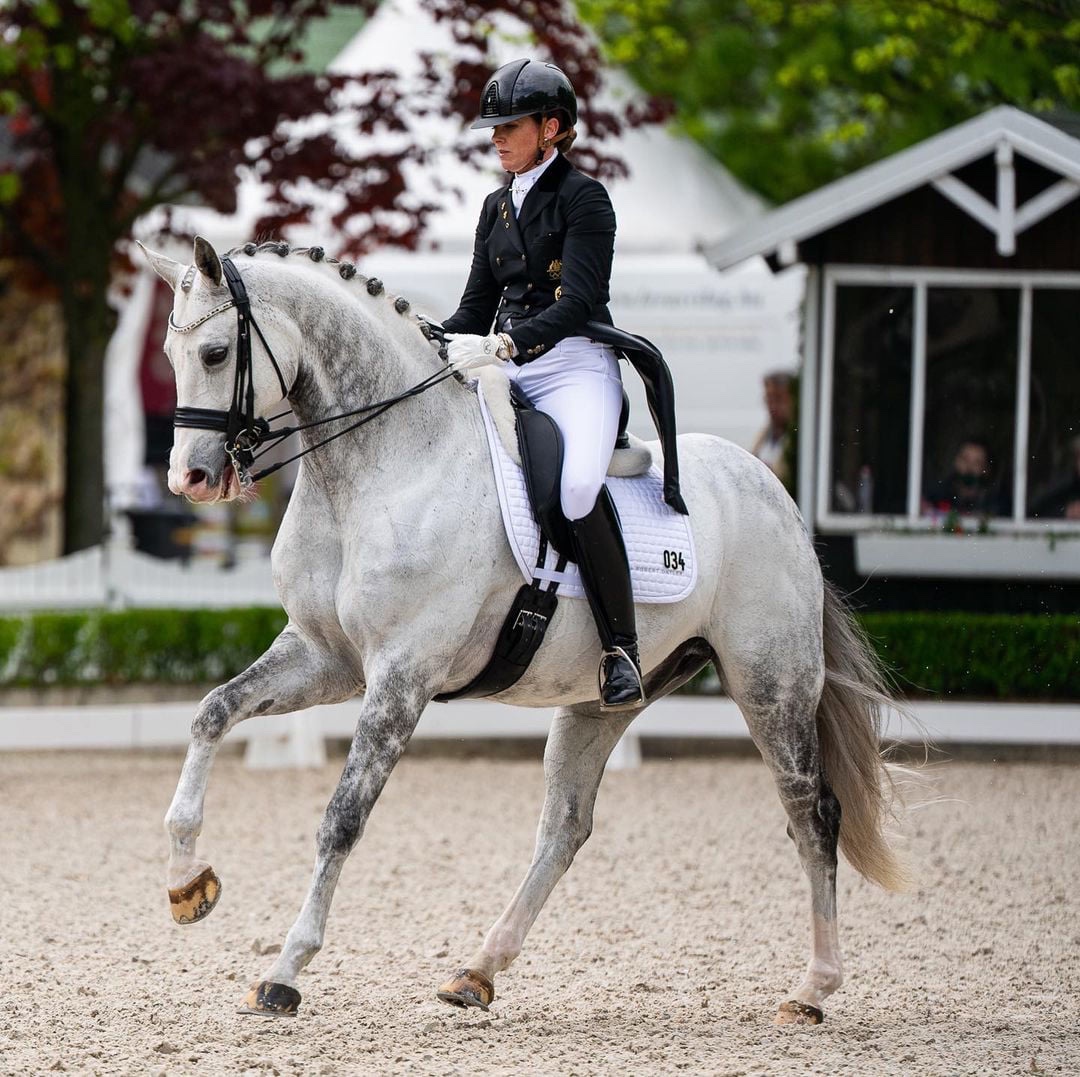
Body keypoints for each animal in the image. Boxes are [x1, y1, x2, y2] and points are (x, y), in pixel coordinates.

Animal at [139, 233, 907, 1024]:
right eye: (170, 355)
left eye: (217, 353)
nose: (189, 479)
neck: (385, 464)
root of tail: (775, 492)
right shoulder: (326, 658)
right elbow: (212, 712)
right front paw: (188, 883)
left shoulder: (401, 675)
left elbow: (342, 816)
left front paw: (286, 969)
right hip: (601, 702)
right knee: (566, 826)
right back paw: (477, 971)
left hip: (770, 684)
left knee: (812, 812)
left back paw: (813, 989)